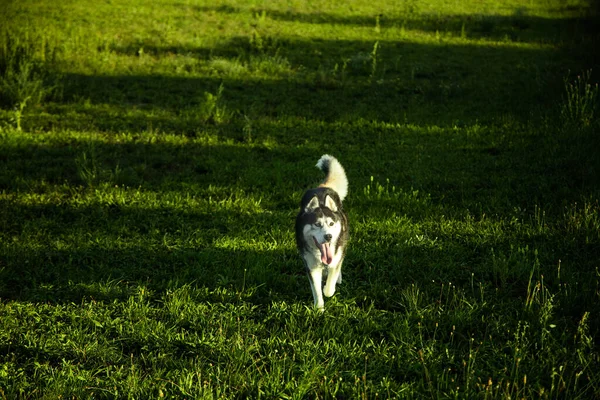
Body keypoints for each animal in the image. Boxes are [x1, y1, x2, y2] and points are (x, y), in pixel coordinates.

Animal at [294, 154, 350, 310]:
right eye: (317, 224)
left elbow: (330, 284)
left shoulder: (334, 258)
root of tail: (322, 187)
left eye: (331, 224)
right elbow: (316, 290)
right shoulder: (311, 266)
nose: (328, 236)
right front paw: (319, 309)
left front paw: (328, 289)